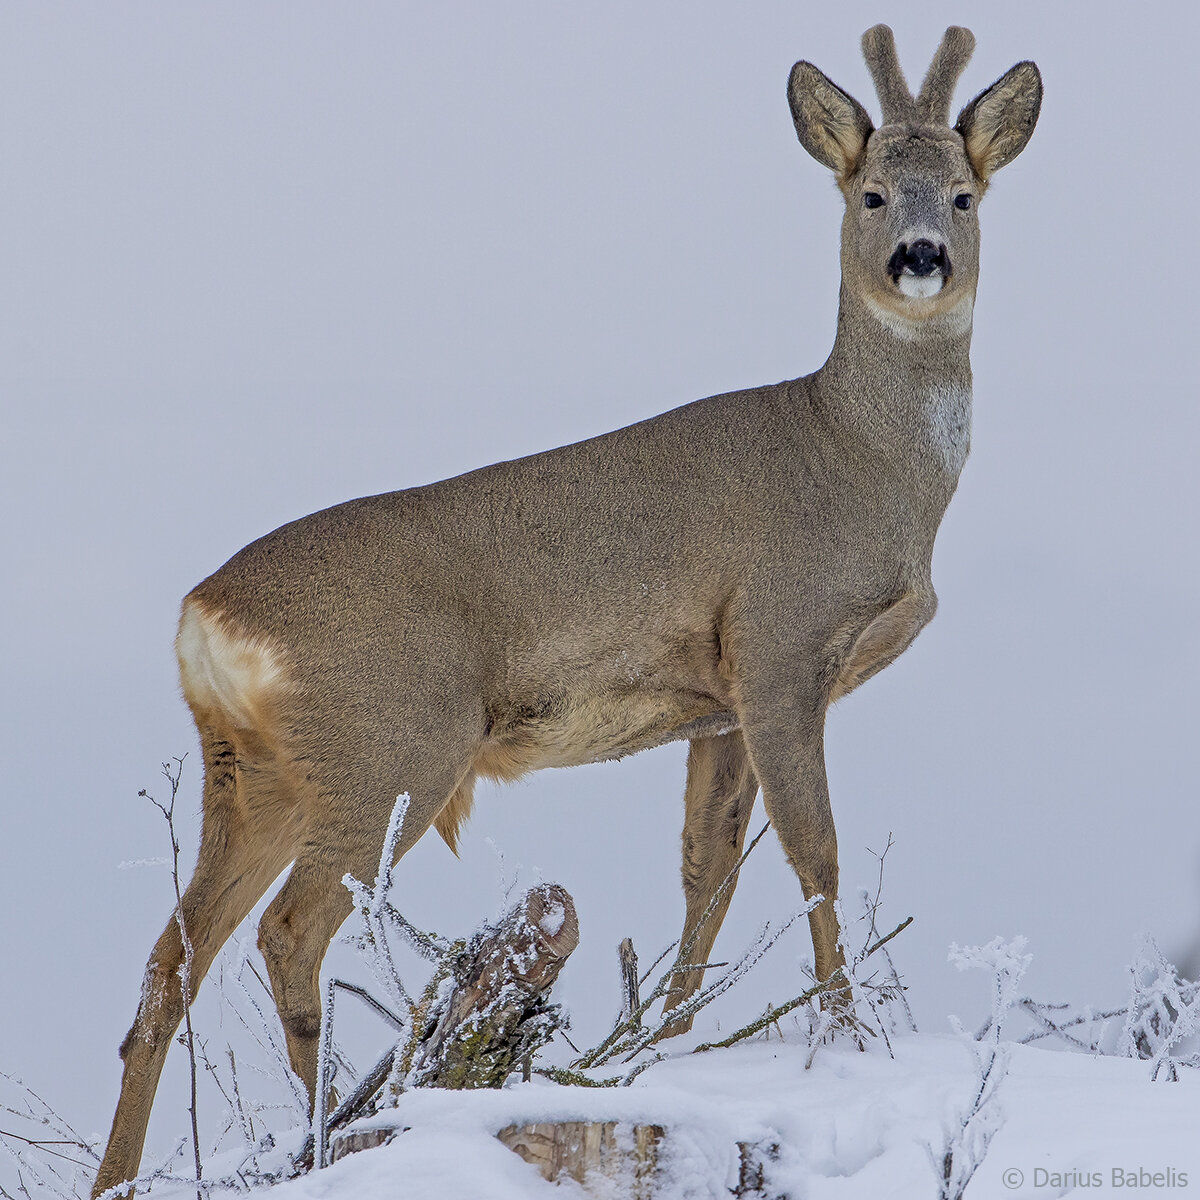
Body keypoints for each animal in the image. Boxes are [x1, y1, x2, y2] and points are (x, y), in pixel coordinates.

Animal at [96, 23, 1041, 1195]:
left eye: (964, 192)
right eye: (869, 193)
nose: (921, 257)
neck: (862, 462)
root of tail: (202, 616)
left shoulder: (718, 700)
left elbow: (706, 873)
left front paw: (671, 1046)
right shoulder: (781, 642)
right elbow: (815, 854)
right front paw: (845, 1033)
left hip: (255, 776)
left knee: (169, 961)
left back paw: (123, 1173)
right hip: (389, 748)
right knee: (288, 933)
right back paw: (332, 1124)